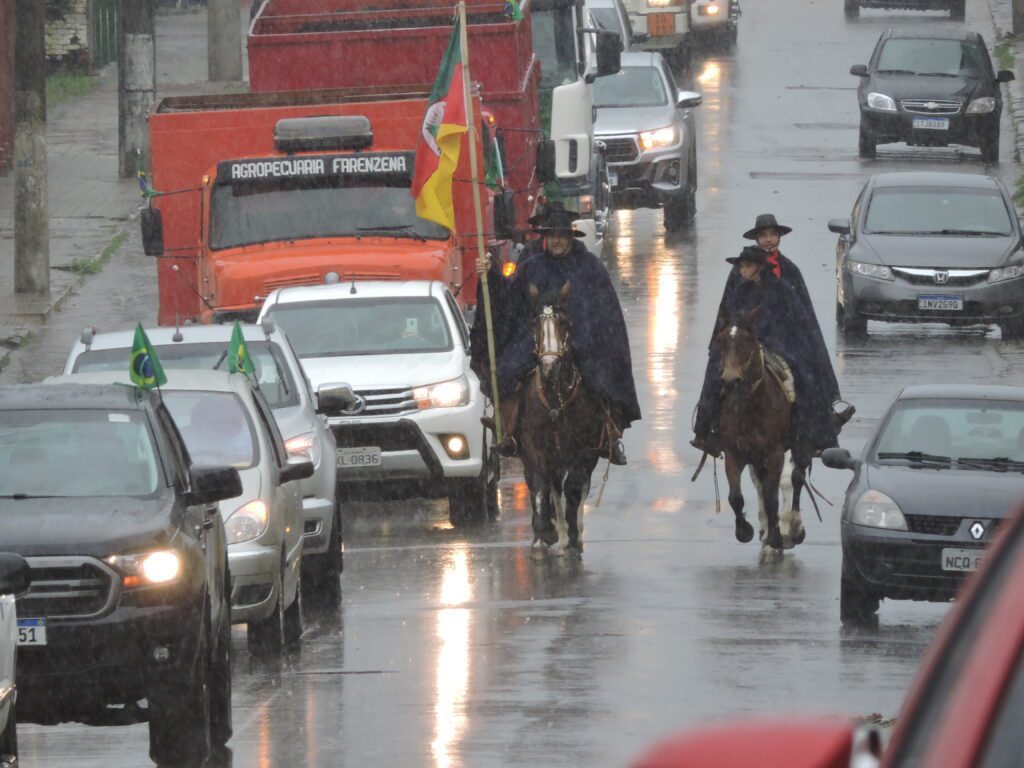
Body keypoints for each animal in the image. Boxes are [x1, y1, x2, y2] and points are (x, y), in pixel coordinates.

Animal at [524, 282, 602, 561]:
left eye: (564, 322)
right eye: (534, 322)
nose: (549, 365)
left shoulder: (582, 451)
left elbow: (575, 490)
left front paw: (573, 536)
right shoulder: (535, 448)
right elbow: (540, 486)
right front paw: (541, 537)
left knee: (579, 488)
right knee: (555, 488)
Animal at [716, 309, 811, 561]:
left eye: (746, 343)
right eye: (722, 342)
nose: (730, 380)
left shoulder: (775, 454)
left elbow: (772, 497)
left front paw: (776, 539)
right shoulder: (734, 453)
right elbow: (735, 497)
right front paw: (745, 531)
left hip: (799, 447)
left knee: (797, 478)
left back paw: (794, 529)